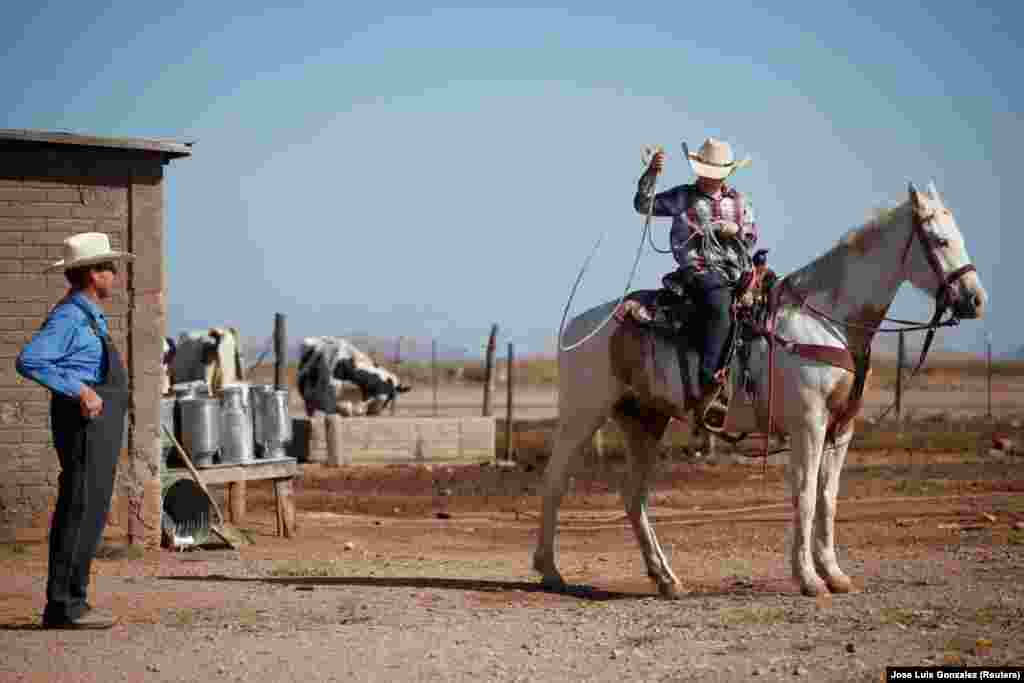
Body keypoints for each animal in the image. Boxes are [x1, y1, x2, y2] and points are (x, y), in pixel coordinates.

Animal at [532, 183, 987, 598]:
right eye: (940, 240)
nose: (975, 300)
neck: (826, 321)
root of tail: (575, 326)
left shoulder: (842, 427)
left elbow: (828, 497)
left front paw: (835, 575)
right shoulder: (809, 424)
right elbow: (804, 495)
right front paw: (808, 579)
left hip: (644, 420)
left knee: (634, 496)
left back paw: (666, 579)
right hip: (583, 414)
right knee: (556, 481)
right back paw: (550, 571)